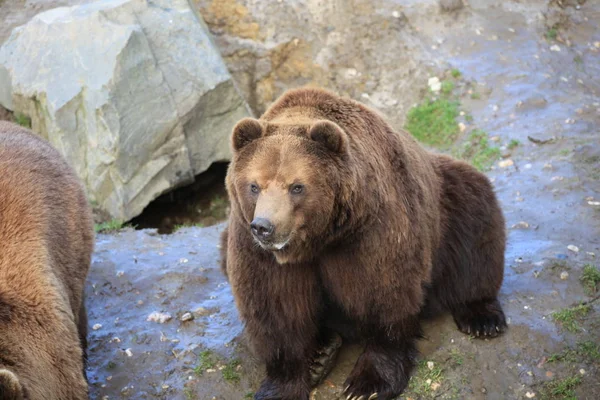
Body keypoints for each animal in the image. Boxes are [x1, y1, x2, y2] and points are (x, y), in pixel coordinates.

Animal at [220, 88, 506, 400]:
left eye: (297, 186)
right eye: (254, 186)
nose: (264, 227)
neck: (320, 239)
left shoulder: (372, 229)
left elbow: (383, 291)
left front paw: (367, 383)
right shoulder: (254, 248)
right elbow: (275, 307)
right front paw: (281, 385)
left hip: (444, 207)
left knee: (473, 215)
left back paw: (481, 317)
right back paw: (321, 354)